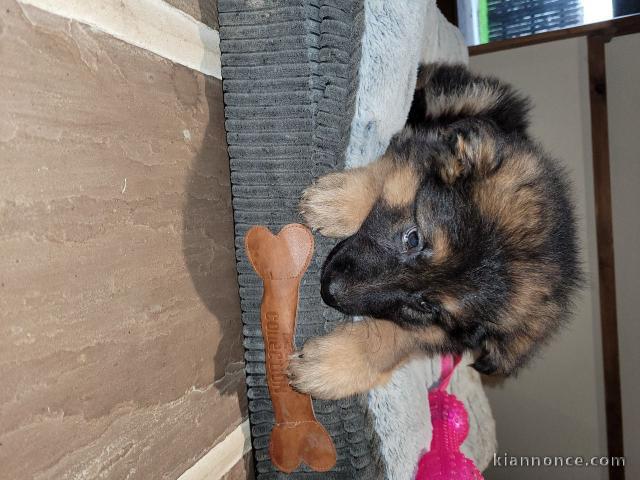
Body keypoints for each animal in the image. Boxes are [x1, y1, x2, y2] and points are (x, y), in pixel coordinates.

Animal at [288, 64, 584, 402]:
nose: (329, 290)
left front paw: (332, 364)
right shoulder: (426, 145)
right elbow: (393, 168)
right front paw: (336, 201)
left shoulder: (438, 336)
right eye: (413, 238)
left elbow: (399, 340)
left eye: (426, 306)